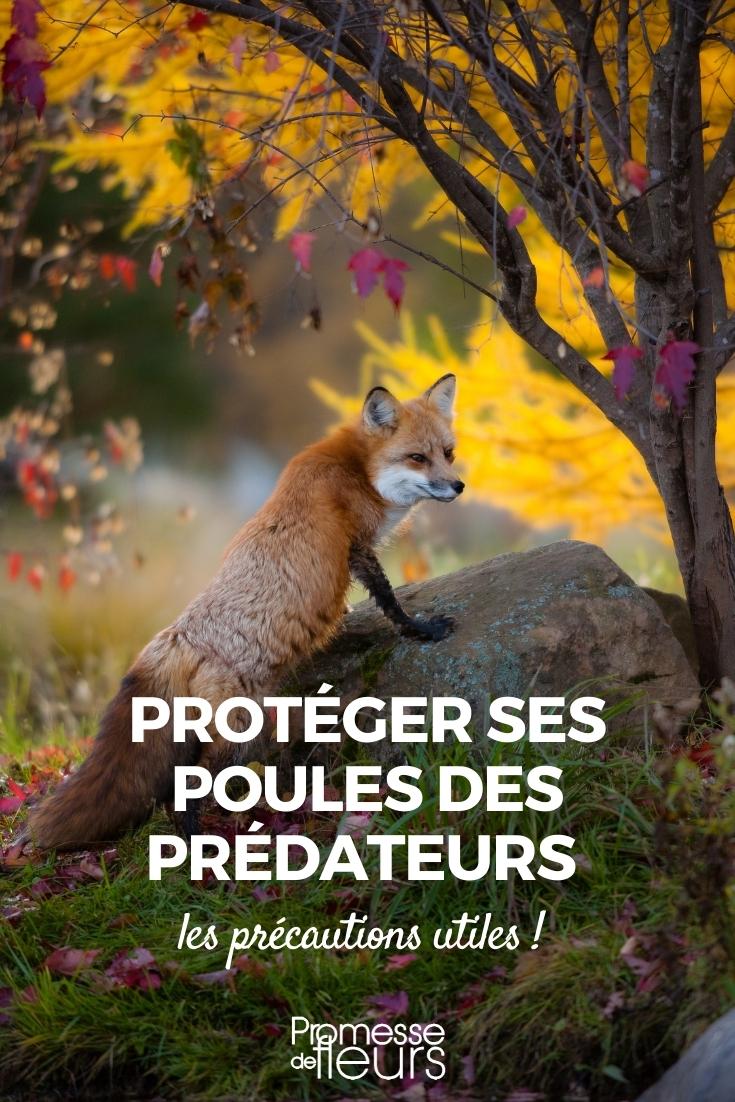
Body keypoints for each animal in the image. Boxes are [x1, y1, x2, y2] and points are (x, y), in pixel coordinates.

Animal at [23, 373, 463, 850]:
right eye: (417, 457)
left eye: (448, 453)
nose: (458, 486)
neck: (357, 470)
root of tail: (173, 639)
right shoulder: (358, 548)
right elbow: (389, 600)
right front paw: (421, 629)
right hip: (238, 731)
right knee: (183, 790)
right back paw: (199, 846)